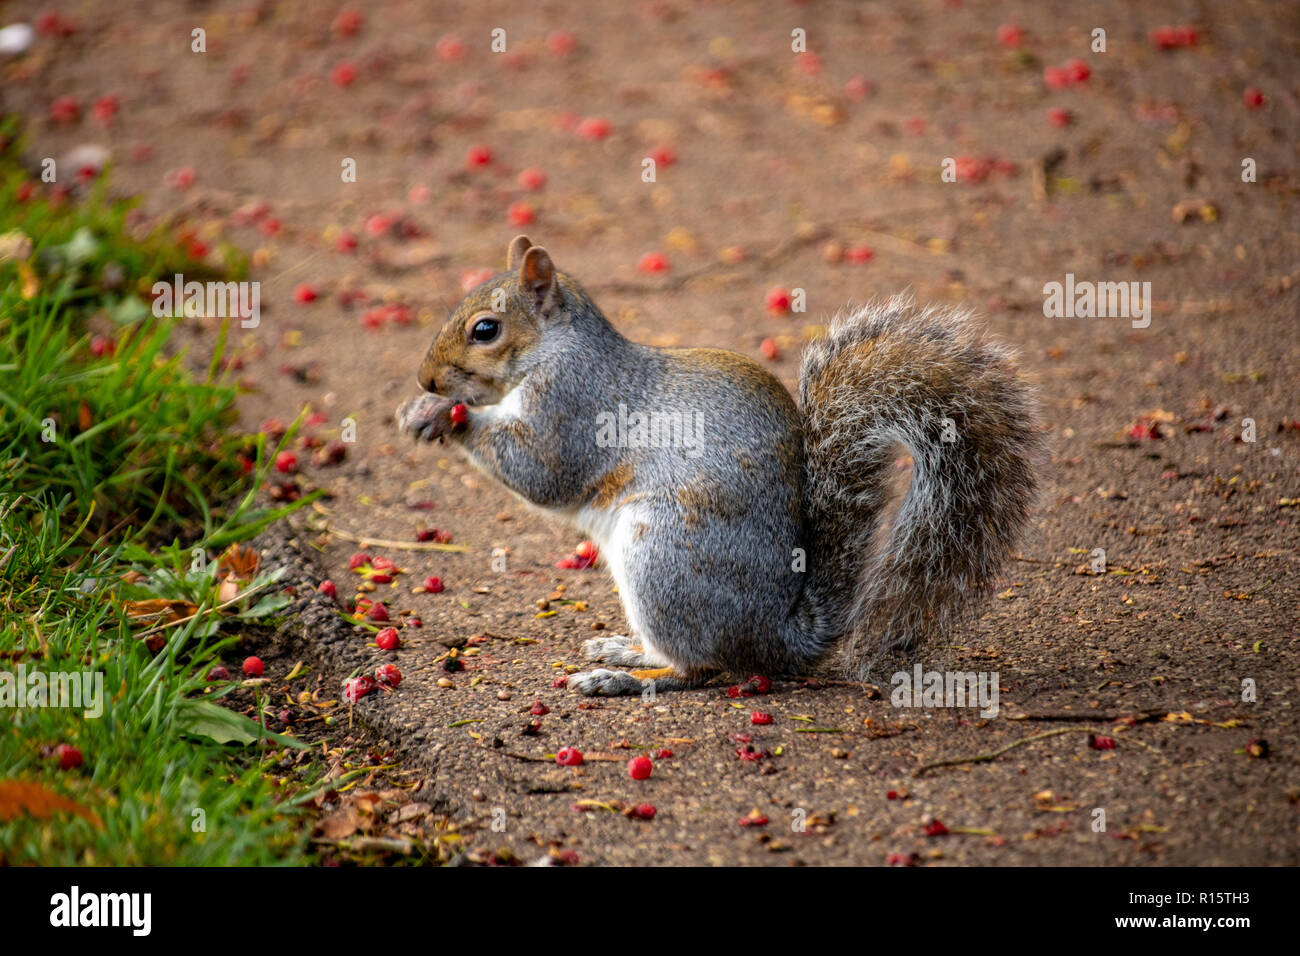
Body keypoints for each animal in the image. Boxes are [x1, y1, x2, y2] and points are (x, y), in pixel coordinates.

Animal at [398, 235, 1042, 696]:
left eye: (486, 329)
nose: (425, 379)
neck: (556, 350)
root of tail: (779, 636)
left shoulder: (574, 407)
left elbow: (541, 470)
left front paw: (446, 416)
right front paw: (421, 409)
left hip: (661, 558)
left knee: (701, 667)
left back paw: (622, 678)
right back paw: (624, 650)